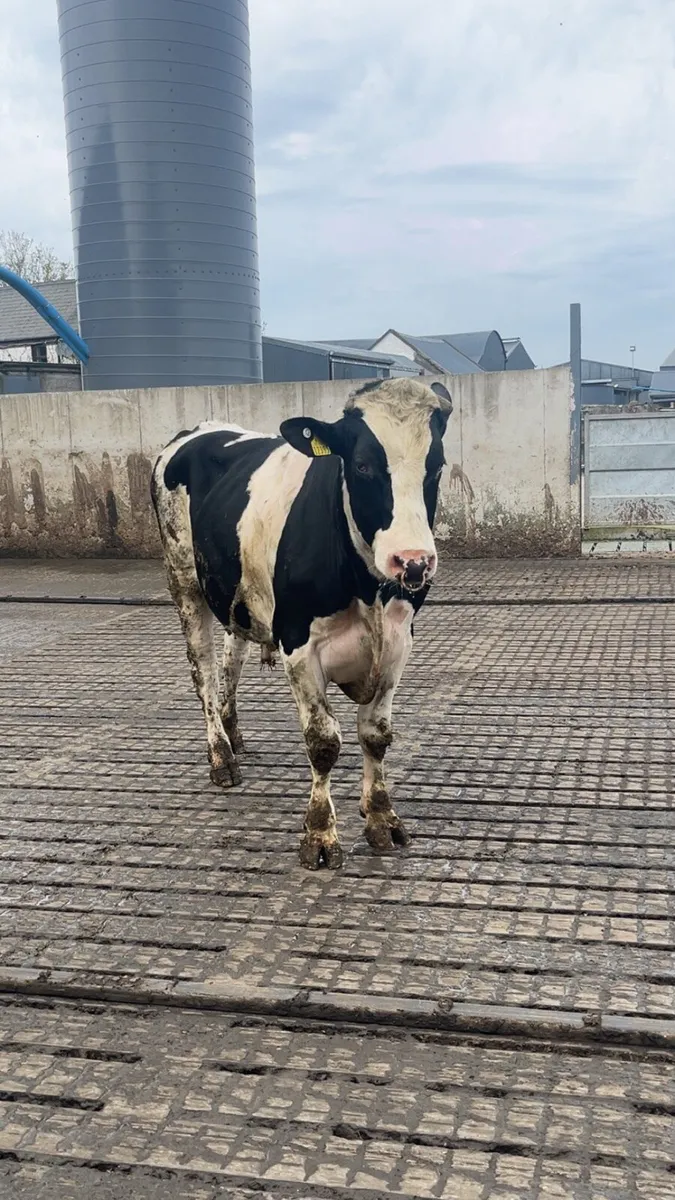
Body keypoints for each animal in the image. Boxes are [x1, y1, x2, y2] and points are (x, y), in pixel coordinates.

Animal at [151, 377, 453, 869]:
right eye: (363, 464)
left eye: (436, 465)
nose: (413, 561)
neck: (367, 588)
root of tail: (201, 428)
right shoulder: (299, 645)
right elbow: (322, 742)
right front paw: (320, 834)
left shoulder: (398, 643)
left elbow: (376, 735)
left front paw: (381, 818)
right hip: (184, 582)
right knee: (204, 675)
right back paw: (221, 756)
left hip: (238, 594)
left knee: (231, 660)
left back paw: (235, 734)